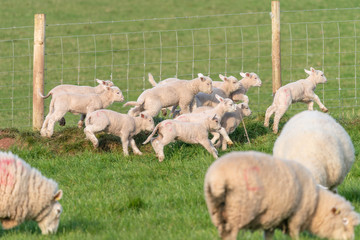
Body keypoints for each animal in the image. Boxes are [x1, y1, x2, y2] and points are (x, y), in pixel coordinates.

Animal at [205, 151, 360, 239]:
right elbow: (294, 235)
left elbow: (268, 235)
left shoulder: (271, 218)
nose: (350, 238)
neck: (316, 204)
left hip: (217, 211)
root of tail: (217, 178)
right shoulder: (296, 217)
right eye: (344, 221)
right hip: (237, 210)